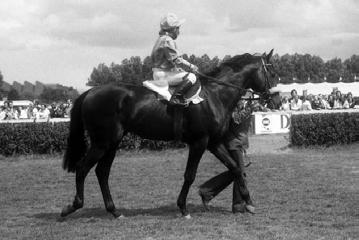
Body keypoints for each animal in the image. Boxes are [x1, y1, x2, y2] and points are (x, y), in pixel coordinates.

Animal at [61, 49, 278, 218]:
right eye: (273, 72)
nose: (276, 100)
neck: (214, 95)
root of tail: (89, 92)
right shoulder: (200, 142)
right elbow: (190, 175)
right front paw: (183, 208)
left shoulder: (213, 142)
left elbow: (235, 168)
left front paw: (249, 203)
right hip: (102, 142)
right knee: (82, 168)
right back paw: (72, 206)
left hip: (112, 143)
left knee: (102, 172)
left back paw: (114, 211)